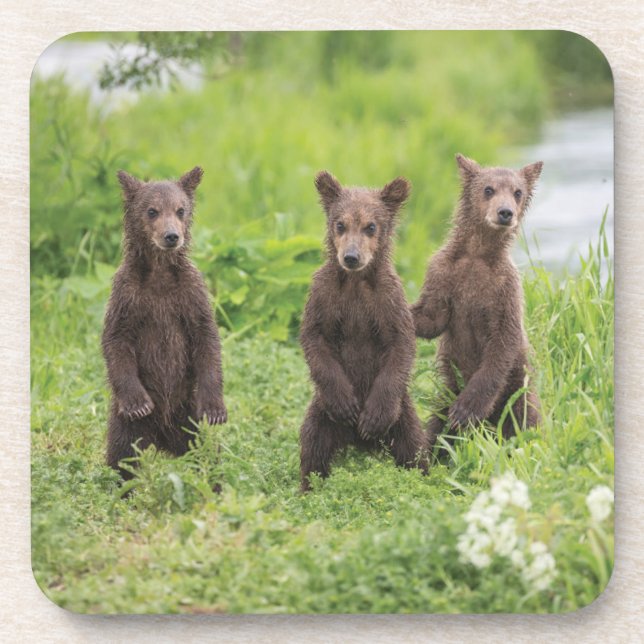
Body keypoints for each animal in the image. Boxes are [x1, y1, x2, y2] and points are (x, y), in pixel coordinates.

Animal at [102, 167, 227, 479]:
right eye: (152, 211)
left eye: (180, 210)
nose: (172, 236)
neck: (159, 273)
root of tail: (162, 438)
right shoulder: (128, 295)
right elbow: (116, 340)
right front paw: (138, 403)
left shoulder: (189, 294)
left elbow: (207, 338)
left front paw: (216, 409)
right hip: (127, 425)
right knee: (123, 456)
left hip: (189, 414)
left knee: (206, 452)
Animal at [299, 171, 427, 491]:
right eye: (340, 224)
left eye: (371, 226)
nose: (351, 257)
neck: (356, 282)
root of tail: (356, 441)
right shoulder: (324, 296)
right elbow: (314, 338)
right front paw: (346, 405)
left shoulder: (388, 300)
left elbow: (401, 344)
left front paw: (372, 419)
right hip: (321, 414)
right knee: (313, 446)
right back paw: (308, 487)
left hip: (403, 416)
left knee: (414, 448)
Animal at [411, 153, 543, 450]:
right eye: (488, 189)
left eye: (517, 192)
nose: (505, 212)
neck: (477, 253)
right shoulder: (444, 274)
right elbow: (432, 317)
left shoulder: (504, 289)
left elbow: (502, 342)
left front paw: (466, 410)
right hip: (447, 390)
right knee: (437, 427)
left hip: (517, 390)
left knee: (524, 420)